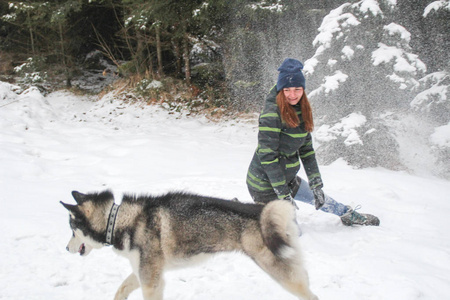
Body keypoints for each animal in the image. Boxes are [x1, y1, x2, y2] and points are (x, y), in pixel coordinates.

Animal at [60, 191, 320, 298]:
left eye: (72, 230)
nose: (66, 248)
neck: (121, 220)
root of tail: (263, 211)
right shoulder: (144, 271)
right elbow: (122, 289)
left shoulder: (151, 281)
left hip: (275, 268)